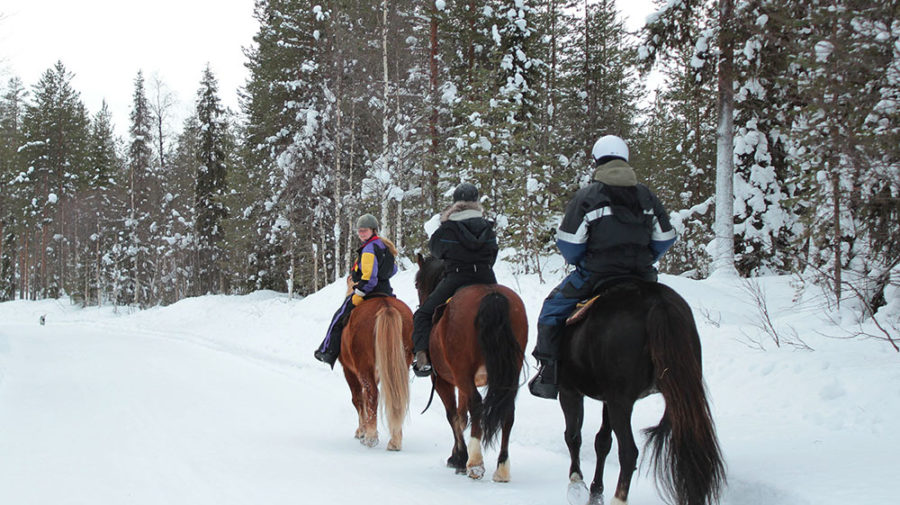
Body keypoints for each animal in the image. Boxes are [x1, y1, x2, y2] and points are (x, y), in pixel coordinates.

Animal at [338, 294, 414, 450]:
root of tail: (386, 306)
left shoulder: (349, 371)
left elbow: (358, 399)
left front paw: (362, 431)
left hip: (364, 367)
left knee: (372, 394)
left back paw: (371, 438)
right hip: (401, 364)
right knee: (397, 396)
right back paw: (395, 440)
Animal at [418, 254, 532, 482]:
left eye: (417, 284)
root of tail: (493, 296)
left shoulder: (444, 380)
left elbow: (453, 415)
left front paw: (459, 458)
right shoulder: (462, 381)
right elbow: (462, 417)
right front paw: (457, 455)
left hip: (462, 373)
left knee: (476, 404)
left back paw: (475, 463)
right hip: (509, 371)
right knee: (508, 410)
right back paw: (502, 468)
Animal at [560, 278, 728, 504]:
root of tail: (659, 303)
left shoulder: (570, 390)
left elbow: (573, 436)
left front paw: (576, 484)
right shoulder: (607, 398)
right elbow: (602, 442)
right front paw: (595, 492)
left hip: (621, 402)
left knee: (628, 452)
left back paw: (618, 498)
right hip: (680, 394)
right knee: (692, 448)